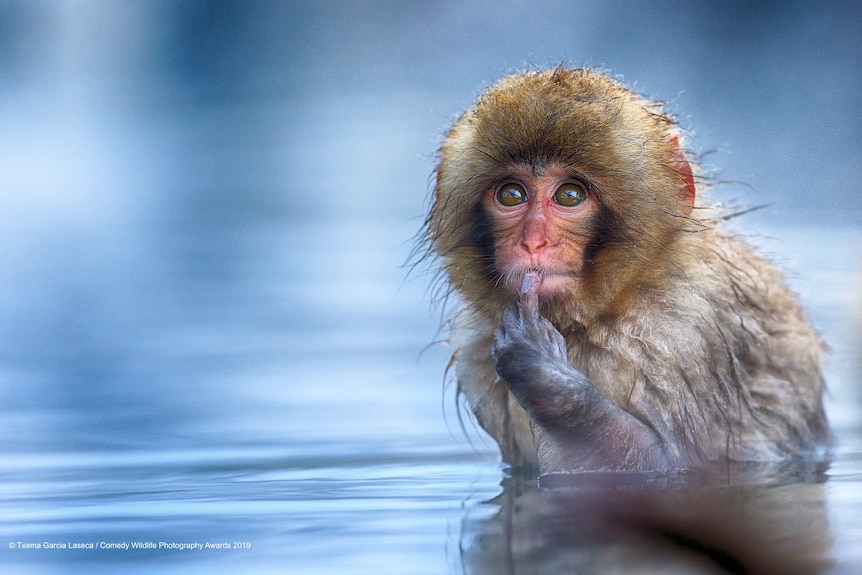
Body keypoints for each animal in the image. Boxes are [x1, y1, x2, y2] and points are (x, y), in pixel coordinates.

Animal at [426, 66, 832, 476]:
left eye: (569, 195)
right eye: (511, 194)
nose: (533, 242)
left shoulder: (679, 331)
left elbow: (665, 463)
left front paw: (542, 372)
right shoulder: (475, 344)